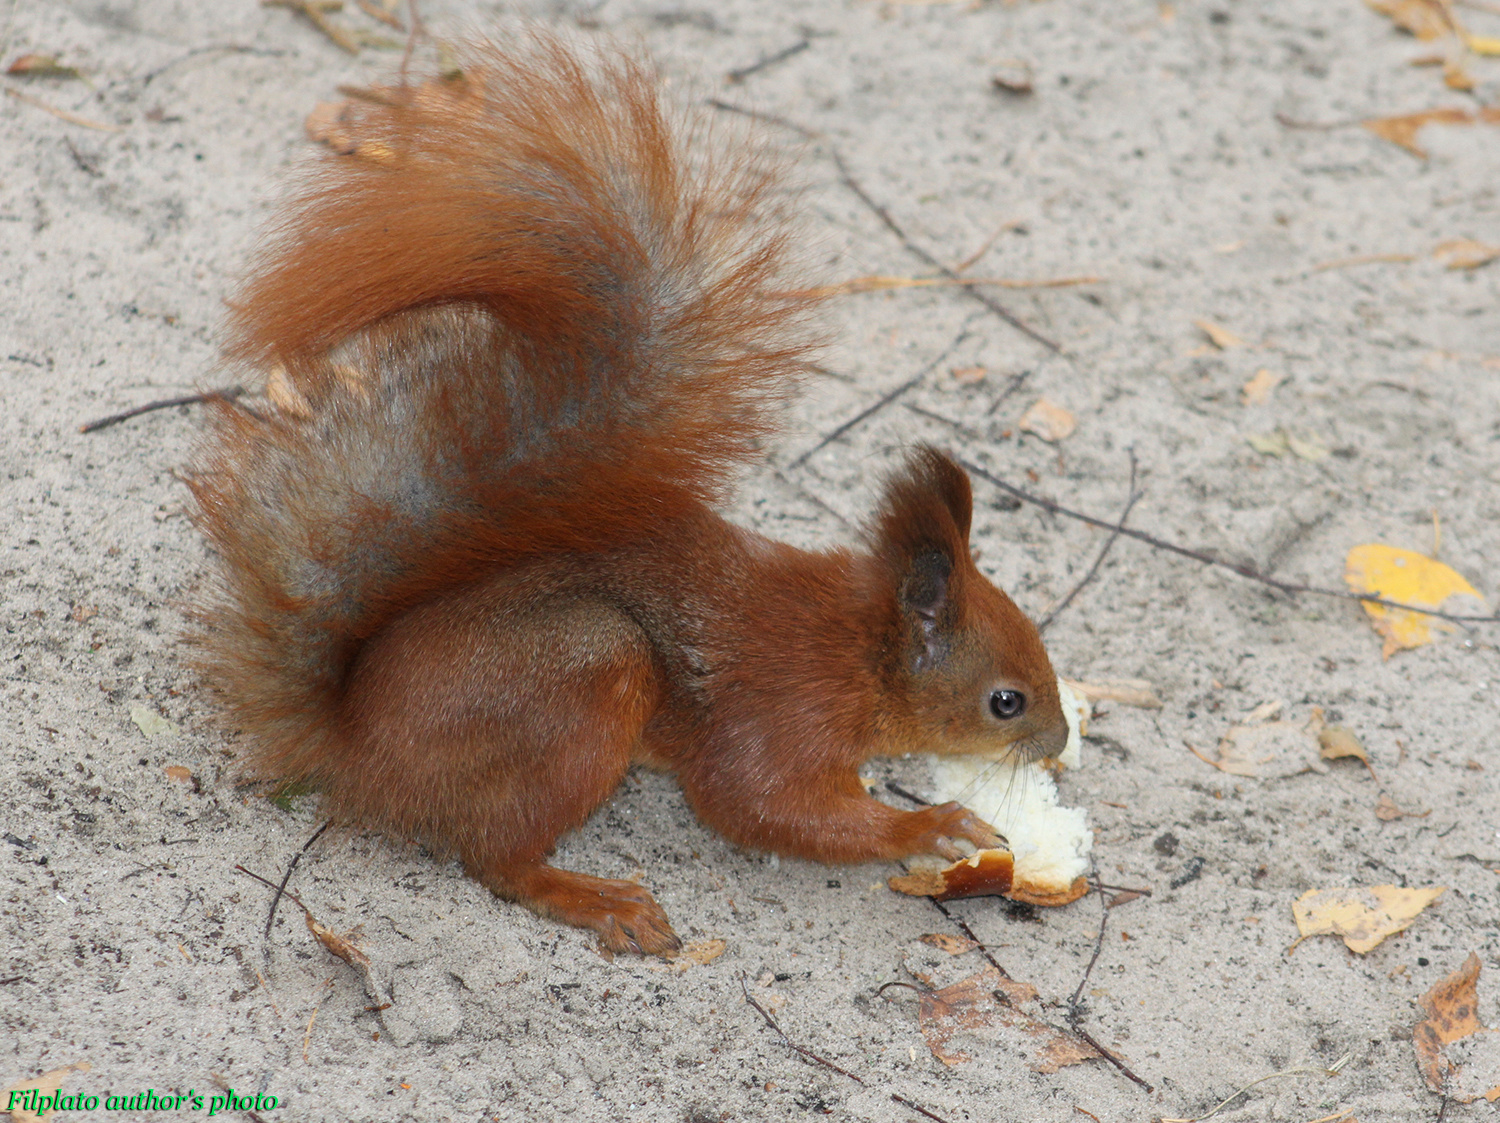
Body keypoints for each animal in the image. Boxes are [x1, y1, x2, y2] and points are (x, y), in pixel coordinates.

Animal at [189, 37, 1068, 956]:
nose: (1058, 743)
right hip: (588, 672)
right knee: (496, 858)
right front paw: (933, 824)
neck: (859, 645)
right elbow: (760, 806)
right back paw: (595, 897)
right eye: (1006, 701)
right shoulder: (782, 718)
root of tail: (356, 743)